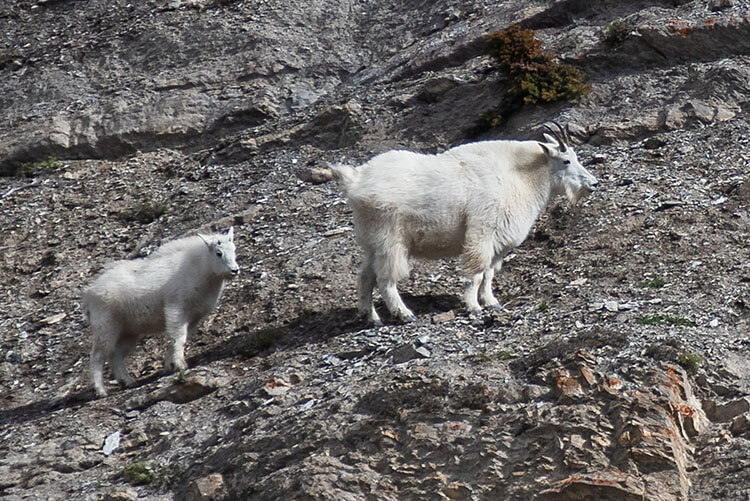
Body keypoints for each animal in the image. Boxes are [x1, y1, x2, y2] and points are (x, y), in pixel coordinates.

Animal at [83, 226, 241, 394]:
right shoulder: (176, 308)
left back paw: (128, 381)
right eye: (219, 253)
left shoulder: (193, 317)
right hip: (106, 326)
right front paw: (179, 364)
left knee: (116, 355)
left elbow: (182, 338)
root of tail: (88, 295)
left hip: (128, 331)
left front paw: (170, 365)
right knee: (97, 355)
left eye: (233, 249)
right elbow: (179, 337)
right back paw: (100, 390)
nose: (234, 270)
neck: (201, 270)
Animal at [302, 123, 604, 322]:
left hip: (371, 242)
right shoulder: (481, 232)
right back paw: (404, 314)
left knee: (365, 275)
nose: (593, 184)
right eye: (566, 160)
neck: (520, 176)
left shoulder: (498, 243)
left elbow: (489, 274)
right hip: (390, 239)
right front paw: (474, 307)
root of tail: (355, 181)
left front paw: (492, 303)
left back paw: (371, 317)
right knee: (386, 278)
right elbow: (476, 274)